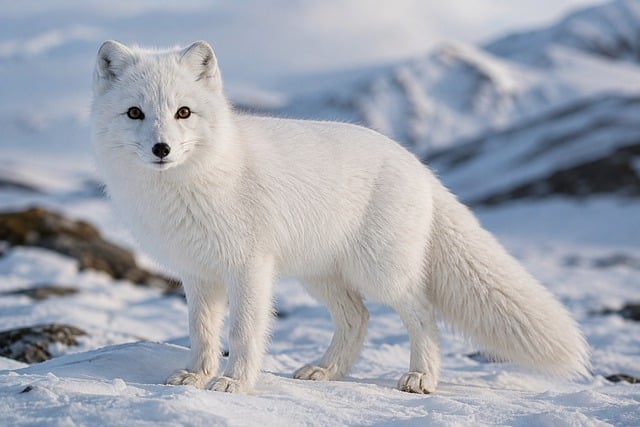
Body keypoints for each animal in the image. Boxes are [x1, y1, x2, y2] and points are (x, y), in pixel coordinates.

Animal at [91, 40, 590, 394]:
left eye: (184, 112)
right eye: (135, 112)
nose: (162, 149)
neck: (192, 182)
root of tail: (421, 168)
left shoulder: (249, 267)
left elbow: (246, 331)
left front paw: (234, 382)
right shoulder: (197, 274)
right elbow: (201, 333)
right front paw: (196, 377)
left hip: (381, 272)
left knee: (422, 314)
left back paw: (421, 379)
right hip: (323, 275)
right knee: (358, 317)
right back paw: (326, 371)